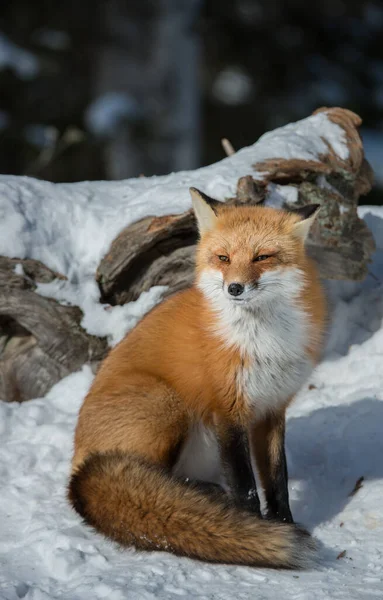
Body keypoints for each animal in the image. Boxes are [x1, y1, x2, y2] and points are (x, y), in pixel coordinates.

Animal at [68, 186, 328, 568]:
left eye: (262, 257)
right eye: (223, 258)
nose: (235, 288)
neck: (262, 342)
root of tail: (77, 464)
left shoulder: (271, 408)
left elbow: (276, 479)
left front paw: (284, 523)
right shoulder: (227, 410)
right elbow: (246, 487)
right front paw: (252, 528)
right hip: (166, 405)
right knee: (154, 480)